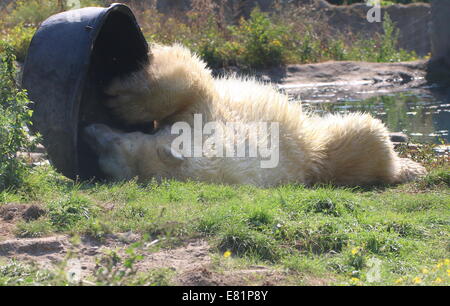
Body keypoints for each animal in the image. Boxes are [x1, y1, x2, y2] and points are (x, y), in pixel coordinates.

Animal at [83, 43, 426, 186]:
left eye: (120, 146)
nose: (90, 132)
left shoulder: (211, 116)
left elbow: (193, 78)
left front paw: (117, 95)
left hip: (319, 149)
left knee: (364, 136)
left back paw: (409, 166)